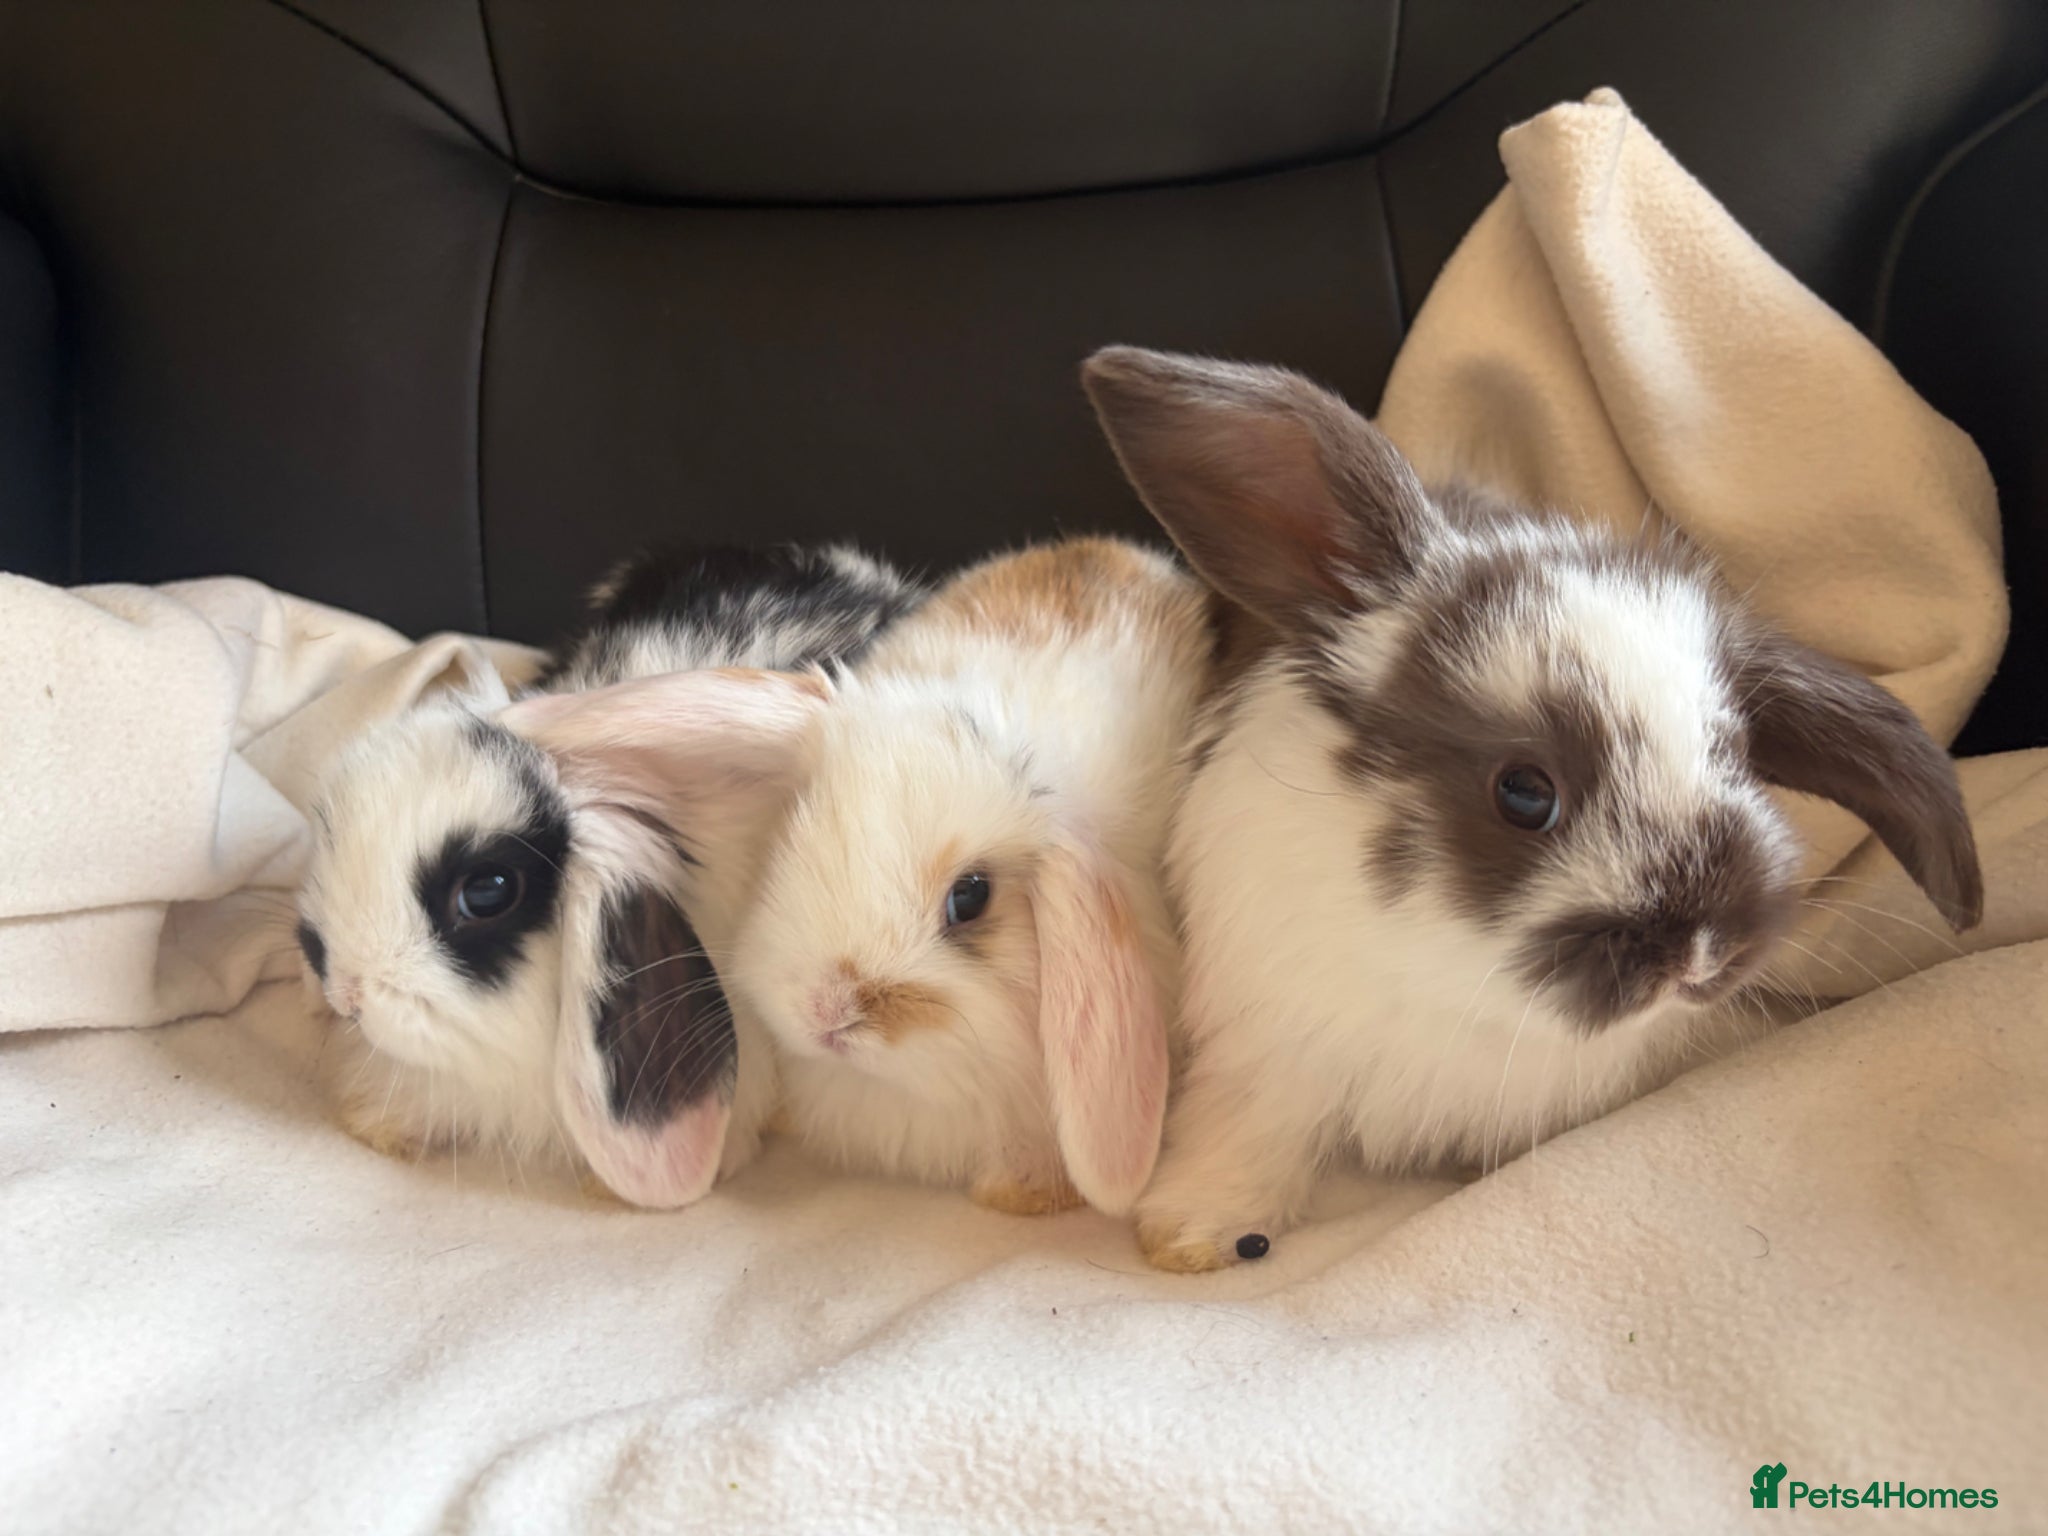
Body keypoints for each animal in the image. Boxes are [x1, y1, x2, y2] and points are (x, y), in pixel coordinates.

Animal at [1079, 345, 1983, 1270]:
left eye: (1732, 751)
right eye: (1524, 792)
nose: (1698, 954)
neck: (1459, 983)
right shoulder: (1269, 1054)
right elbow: (1246, 1137)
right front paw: (1190, 1236)